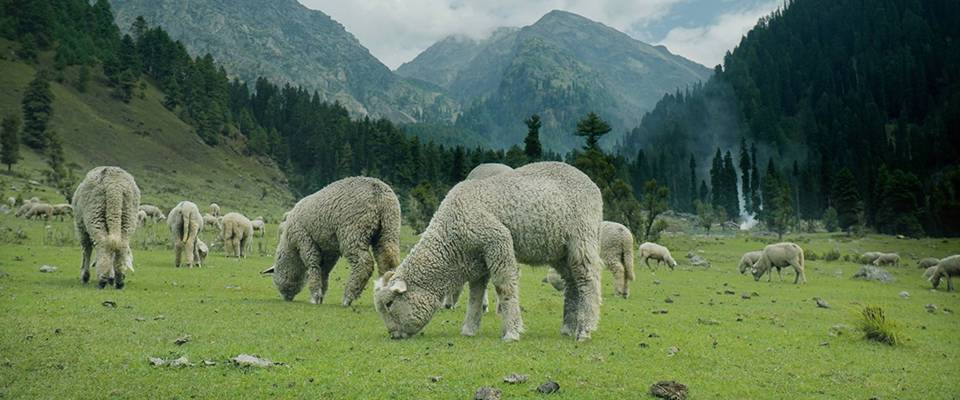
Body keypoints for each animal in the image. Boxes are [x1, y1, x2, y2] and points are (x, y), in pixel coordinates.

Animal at [260, 177, 400, 306]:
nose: (286, 297)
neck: (290, 245)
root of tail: (379, 192)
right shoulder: (329, 250)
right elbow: (324, 270)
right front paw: (321, 295)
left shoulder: (304, 239)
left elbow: (313, 265)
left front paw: (315, 296)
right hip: (388, 229)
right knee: (388, 260)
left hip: (353, 232)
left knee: (364, 263)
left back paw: (348, 298)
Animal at [374, 161, 604, 342]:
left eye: (390, 303)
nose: (393, 335)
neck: (450, 237)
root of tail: (590, 182)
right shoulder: (477, 259)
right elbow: (475, 295)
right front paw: (469, 329)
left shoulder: (497, 240)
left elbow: (504, 287)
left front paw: (511, 332)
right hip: (559, 251)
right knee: (572, 283)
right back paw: (568, 327)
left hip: (582, 237)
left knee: (588, 280)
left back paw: (584, 330)